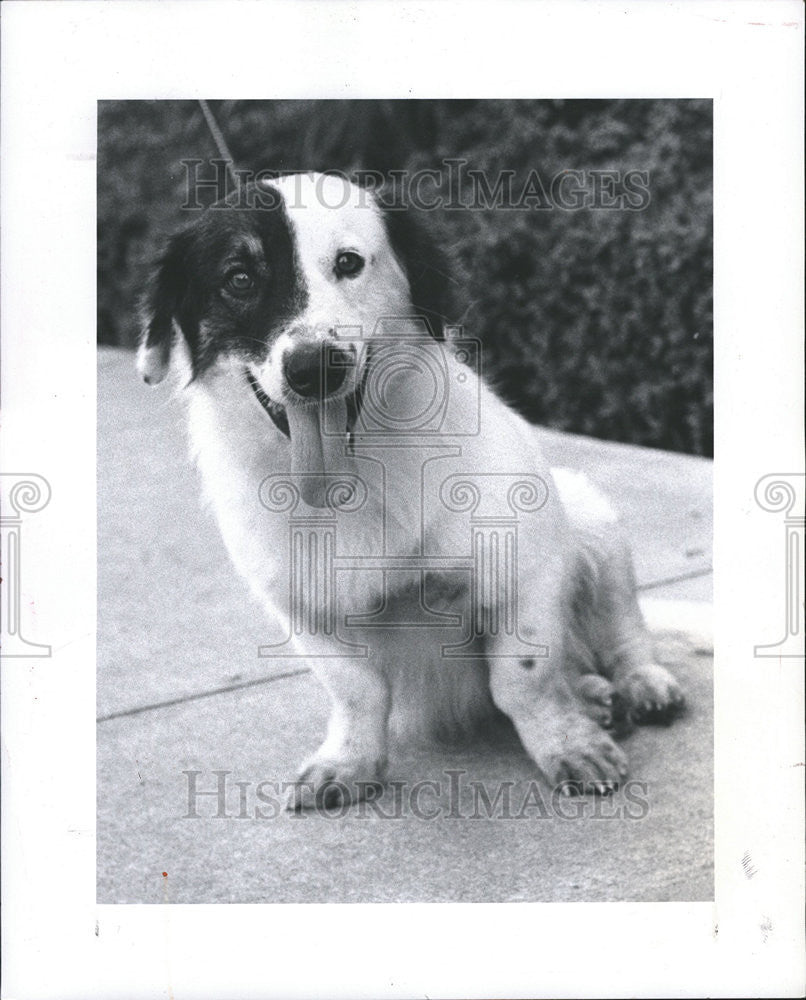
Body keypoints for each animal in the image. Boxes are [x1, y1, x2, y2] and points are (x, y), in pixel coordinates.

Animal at [137, 172, 688, 808]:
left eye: (349, 263)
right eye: (240, 278)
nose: (315, 366)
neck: (359, 479)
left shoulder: (526, 568)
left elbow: (521, 679)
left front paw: (567, 745)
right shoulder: (303, 608)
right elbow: (356, 690)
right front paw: (351, 761)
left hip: (591, 516)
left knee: (623, 630)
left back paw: (638, 684)